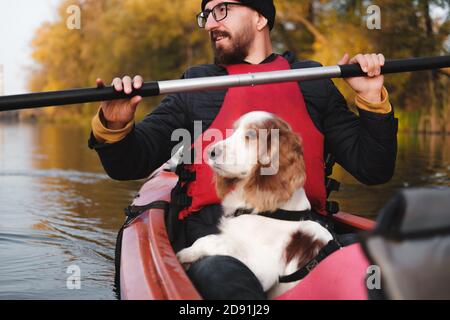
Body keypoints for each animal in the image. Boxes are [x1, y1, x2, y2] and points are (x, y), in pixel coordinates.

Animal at [178, 111, 332, 298]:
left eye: (251, 135)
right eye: (234, 130)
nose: (210, 152)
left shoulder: (263, 268)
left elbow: (210, 240)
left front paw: (184, 254)